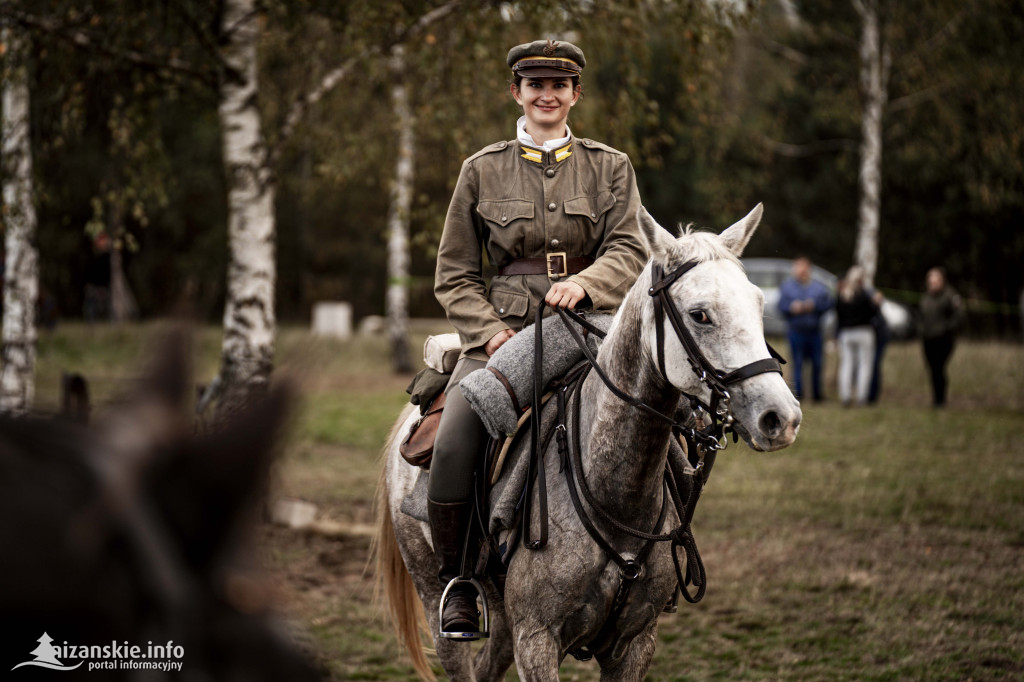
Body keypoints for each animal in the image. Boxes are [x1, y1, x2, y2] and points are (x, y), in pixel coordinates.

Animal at [374, 202, 798, 679]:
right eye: (700, 314)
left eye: (758, 303)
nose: (781, 417)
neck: (614, 493)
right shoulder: (537, 640)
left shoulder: (634, 644)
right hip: (433, 592)